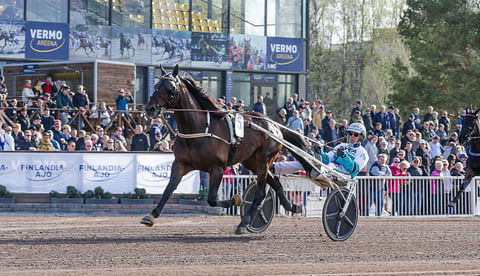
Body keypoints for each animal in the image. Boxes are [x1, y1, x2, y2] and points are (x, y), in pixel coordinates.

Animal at [140, 65, 312, 235]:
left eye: (170, 88)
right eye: (156, 86)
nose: (150, 109)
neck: (199, 129)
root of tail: (275, 125)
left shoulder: (218, 168)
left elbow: (211, 199)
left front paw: (236, 199)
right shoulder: (180, 164)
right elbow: (168, 189)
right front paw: (151, 215)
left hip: (265, 159)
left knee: (261, 193)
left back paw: (244, 222)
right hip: (252, 162)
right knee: (275, 183)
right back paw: (292, 206)